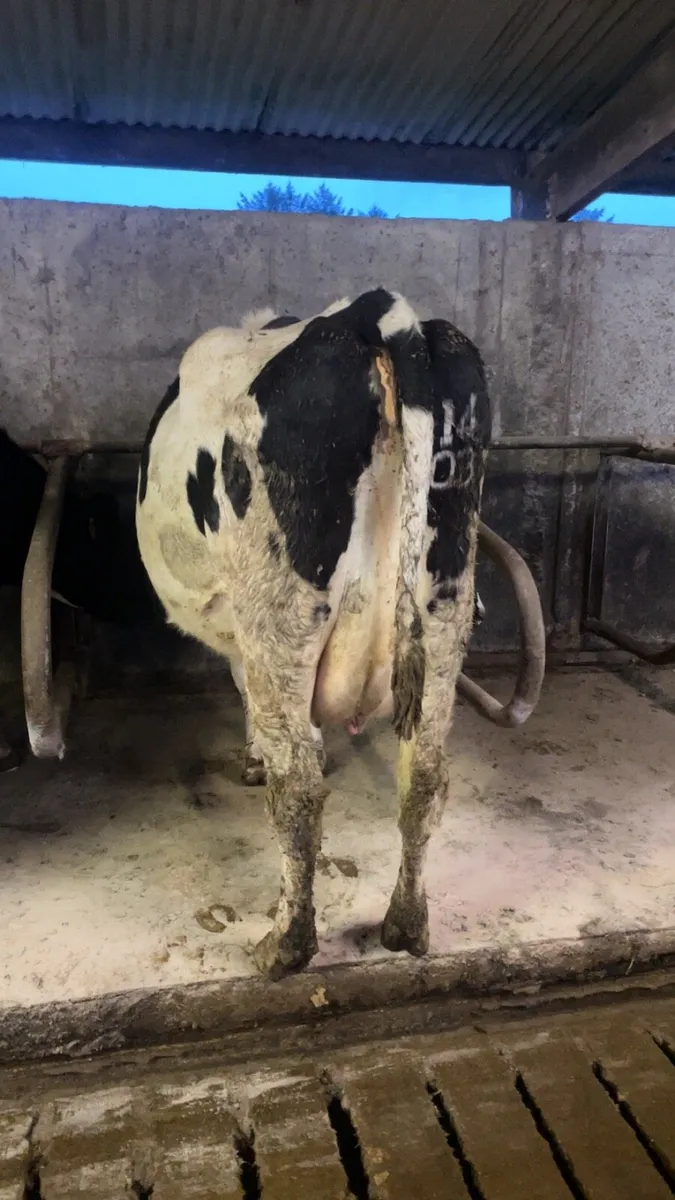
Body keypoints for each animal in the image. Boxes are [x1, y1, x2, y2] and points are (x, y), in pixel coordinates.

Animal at [135, 288, 491, 980]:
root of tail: (373, 312)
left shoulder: (245, 624)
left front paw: (253, 757)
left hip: (280, 608)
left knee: (298, 790)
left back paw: (285, 946)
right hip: (446, 608)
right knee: (424, 776)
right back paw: (406, 926)